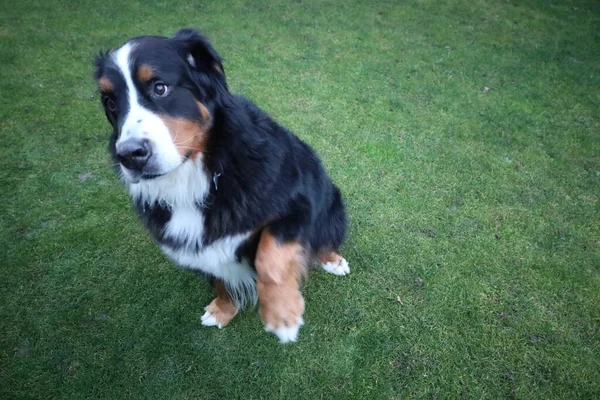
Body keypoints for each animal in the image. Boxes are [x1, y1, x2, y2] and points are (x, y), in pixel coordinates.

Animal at [92, 28, 346, 342]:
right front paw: (223, 310)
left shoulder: (298, 201)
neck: (193, 179)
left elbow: (269, 256)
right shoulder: (197, 247)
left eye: (160, 88)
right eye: (110, 103)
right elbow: (220, 280)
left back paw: (334, 261)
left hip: (332, 201)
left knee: (325, 238)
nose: (129, 155)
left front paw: (283, 314)